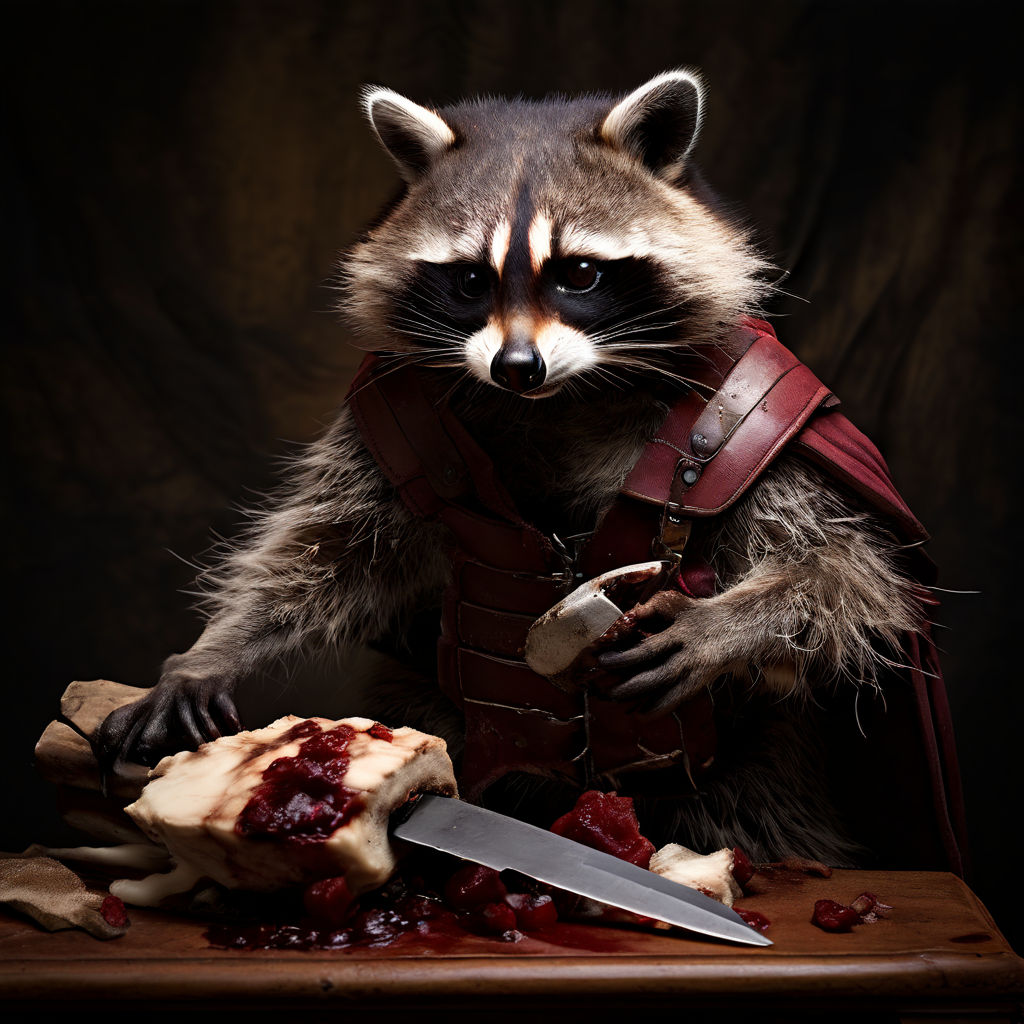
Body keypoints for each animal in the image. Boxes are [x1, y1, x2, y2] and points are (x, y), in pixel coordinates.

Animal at [97, 71, 927, 866]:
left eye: (580, 274)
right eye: (470, 280)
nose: (516, 367)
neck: (562, 397)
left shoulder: (762, 414)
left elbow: (841, 570)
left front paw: (723, 625)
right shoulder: (388, 415)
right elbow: (329, 552)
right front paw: (214, 649)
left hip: (755, 761)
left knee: (757, 806)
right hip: (431, 709)